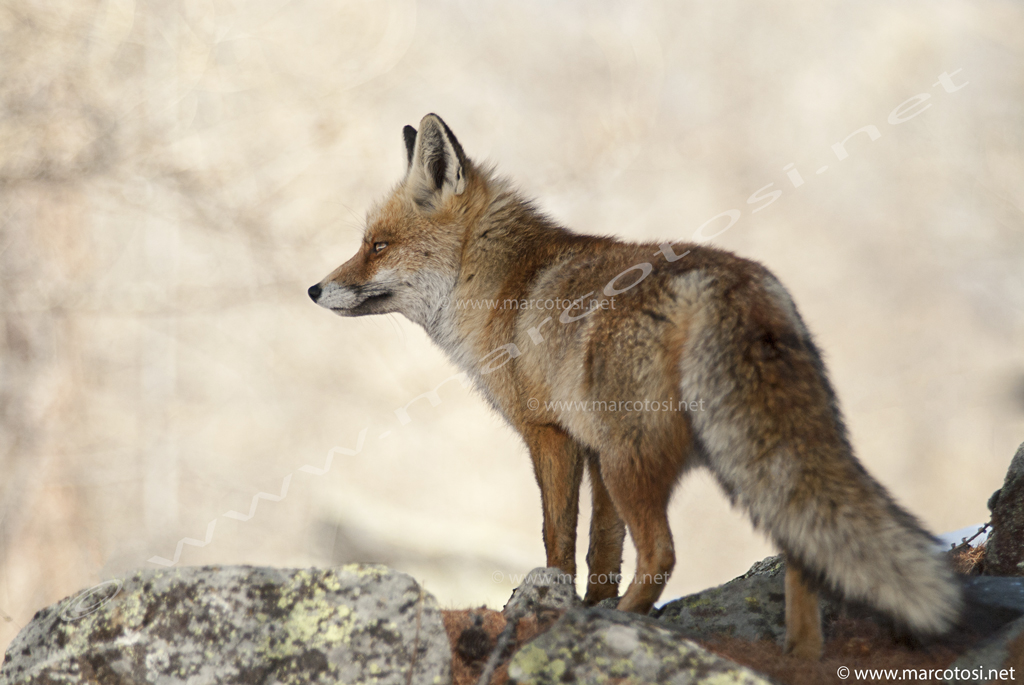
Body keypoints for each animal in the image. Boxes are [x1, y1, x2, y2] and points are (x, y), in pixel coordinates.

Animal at [308, 113, 963, 659]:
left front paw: (558, 607)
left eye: (377, 246)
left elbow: (557, 540)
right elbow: (601, 550)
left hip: (635, 461)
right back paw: (800, 655)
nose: (314, 289)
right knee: (799, 553)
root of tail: (737, 283)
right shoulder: (592, 448)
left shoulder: (552, 435)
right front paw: (585, 602)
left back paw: (620, 624)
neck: (500, 285)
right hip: (722, 459)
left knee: (663, 553)